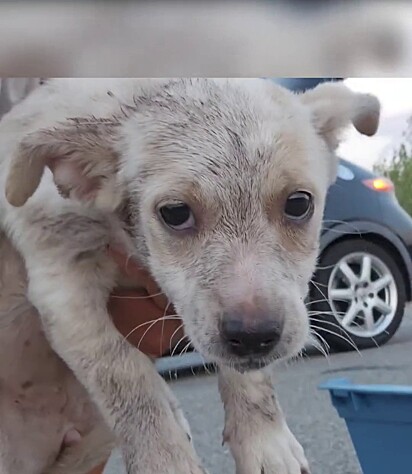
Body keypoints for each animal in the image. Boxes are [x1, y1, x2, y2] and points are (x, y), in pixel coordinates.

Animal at [0, 78, 380, 474]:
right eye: (175, 213)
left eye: (299, 203)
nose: (253, 336)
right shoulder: (61, 277)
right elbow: (126, 379)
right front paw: (165, 463)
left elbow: (251, 377)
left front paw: (266, 445)